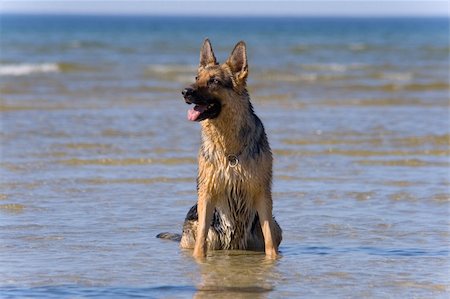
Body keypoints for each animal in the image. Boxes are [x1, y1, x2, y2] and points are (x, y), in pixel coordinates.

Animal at [156, 39, 280, 260]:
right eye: (197, 78)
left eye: (214, 81)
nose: (185, 92)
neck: (230, 151)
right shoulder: (207, 193)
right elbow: (201, 242)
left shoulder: (262, 193)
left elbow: (270, 243)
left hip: (276, 226)